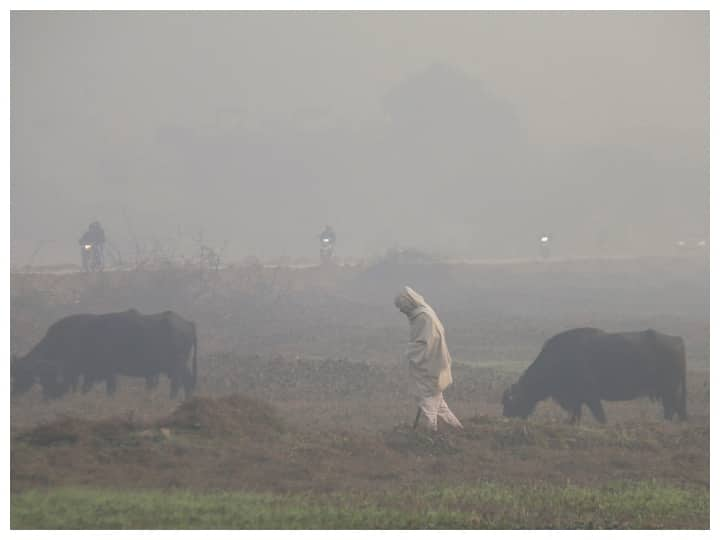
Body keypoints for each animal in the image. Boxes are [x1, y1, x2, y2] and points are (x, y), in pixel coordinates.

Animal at [11, 308, 197, 400]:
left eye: (22, 373)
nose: (13, 394)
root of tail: (187, 323)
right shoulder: (89, 373)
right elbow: (84, 388)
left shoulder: (105, 371)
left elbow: (108, 390)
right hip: (180, 366)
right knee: (188, 382)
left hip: (175, 366)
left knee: (177, 384)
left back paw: (172, 399)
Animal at [504, 326, 688, 424]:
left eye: (512, 401)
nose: (506, 416)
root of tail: (677, 340)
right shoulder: (576, 400)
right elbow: (575, 417)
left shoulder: (591, 397)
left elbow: (600, 417)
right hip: (670, 391)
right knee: (677, 409)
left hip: (669, 390)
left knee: (671, 409)